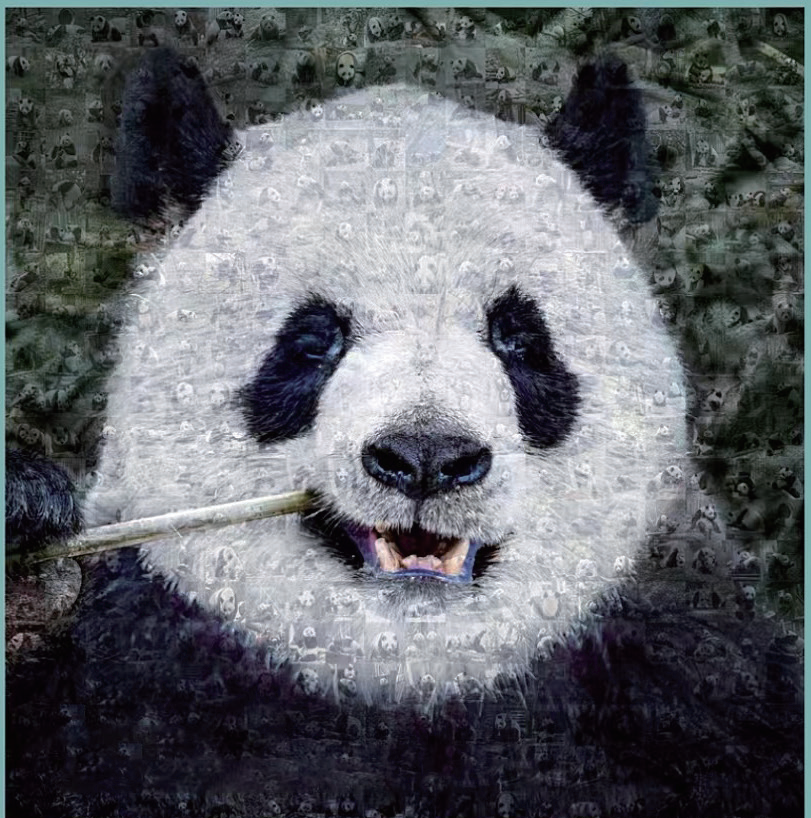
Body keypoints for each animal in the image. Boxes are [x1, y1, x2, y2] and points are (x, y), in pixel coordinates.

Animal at [6, 49, 801, 817]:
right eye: (312, 342)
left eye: (518, 338)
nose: (426, 458)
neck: (411, 672)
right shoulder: (135, 664)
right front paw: (28, 523)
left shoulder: (685, 675)